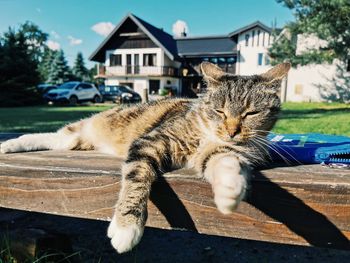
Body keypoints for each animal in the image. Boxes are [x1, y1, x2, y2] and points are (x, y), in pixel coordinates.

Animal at [0, 62, 290, 254]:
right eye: (220, 111)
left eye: (251, 113)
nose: (231, 131)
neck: (206, 133)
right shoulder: (150, 142)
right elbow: (137, 178)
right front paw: (126, 225)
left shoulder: (218, 151)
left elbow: (225, 162)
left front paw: (230, 193)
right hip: (86, 127)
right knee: (52, 135)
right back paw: (12, 143)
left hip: (77, 142)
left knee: (60, 140)